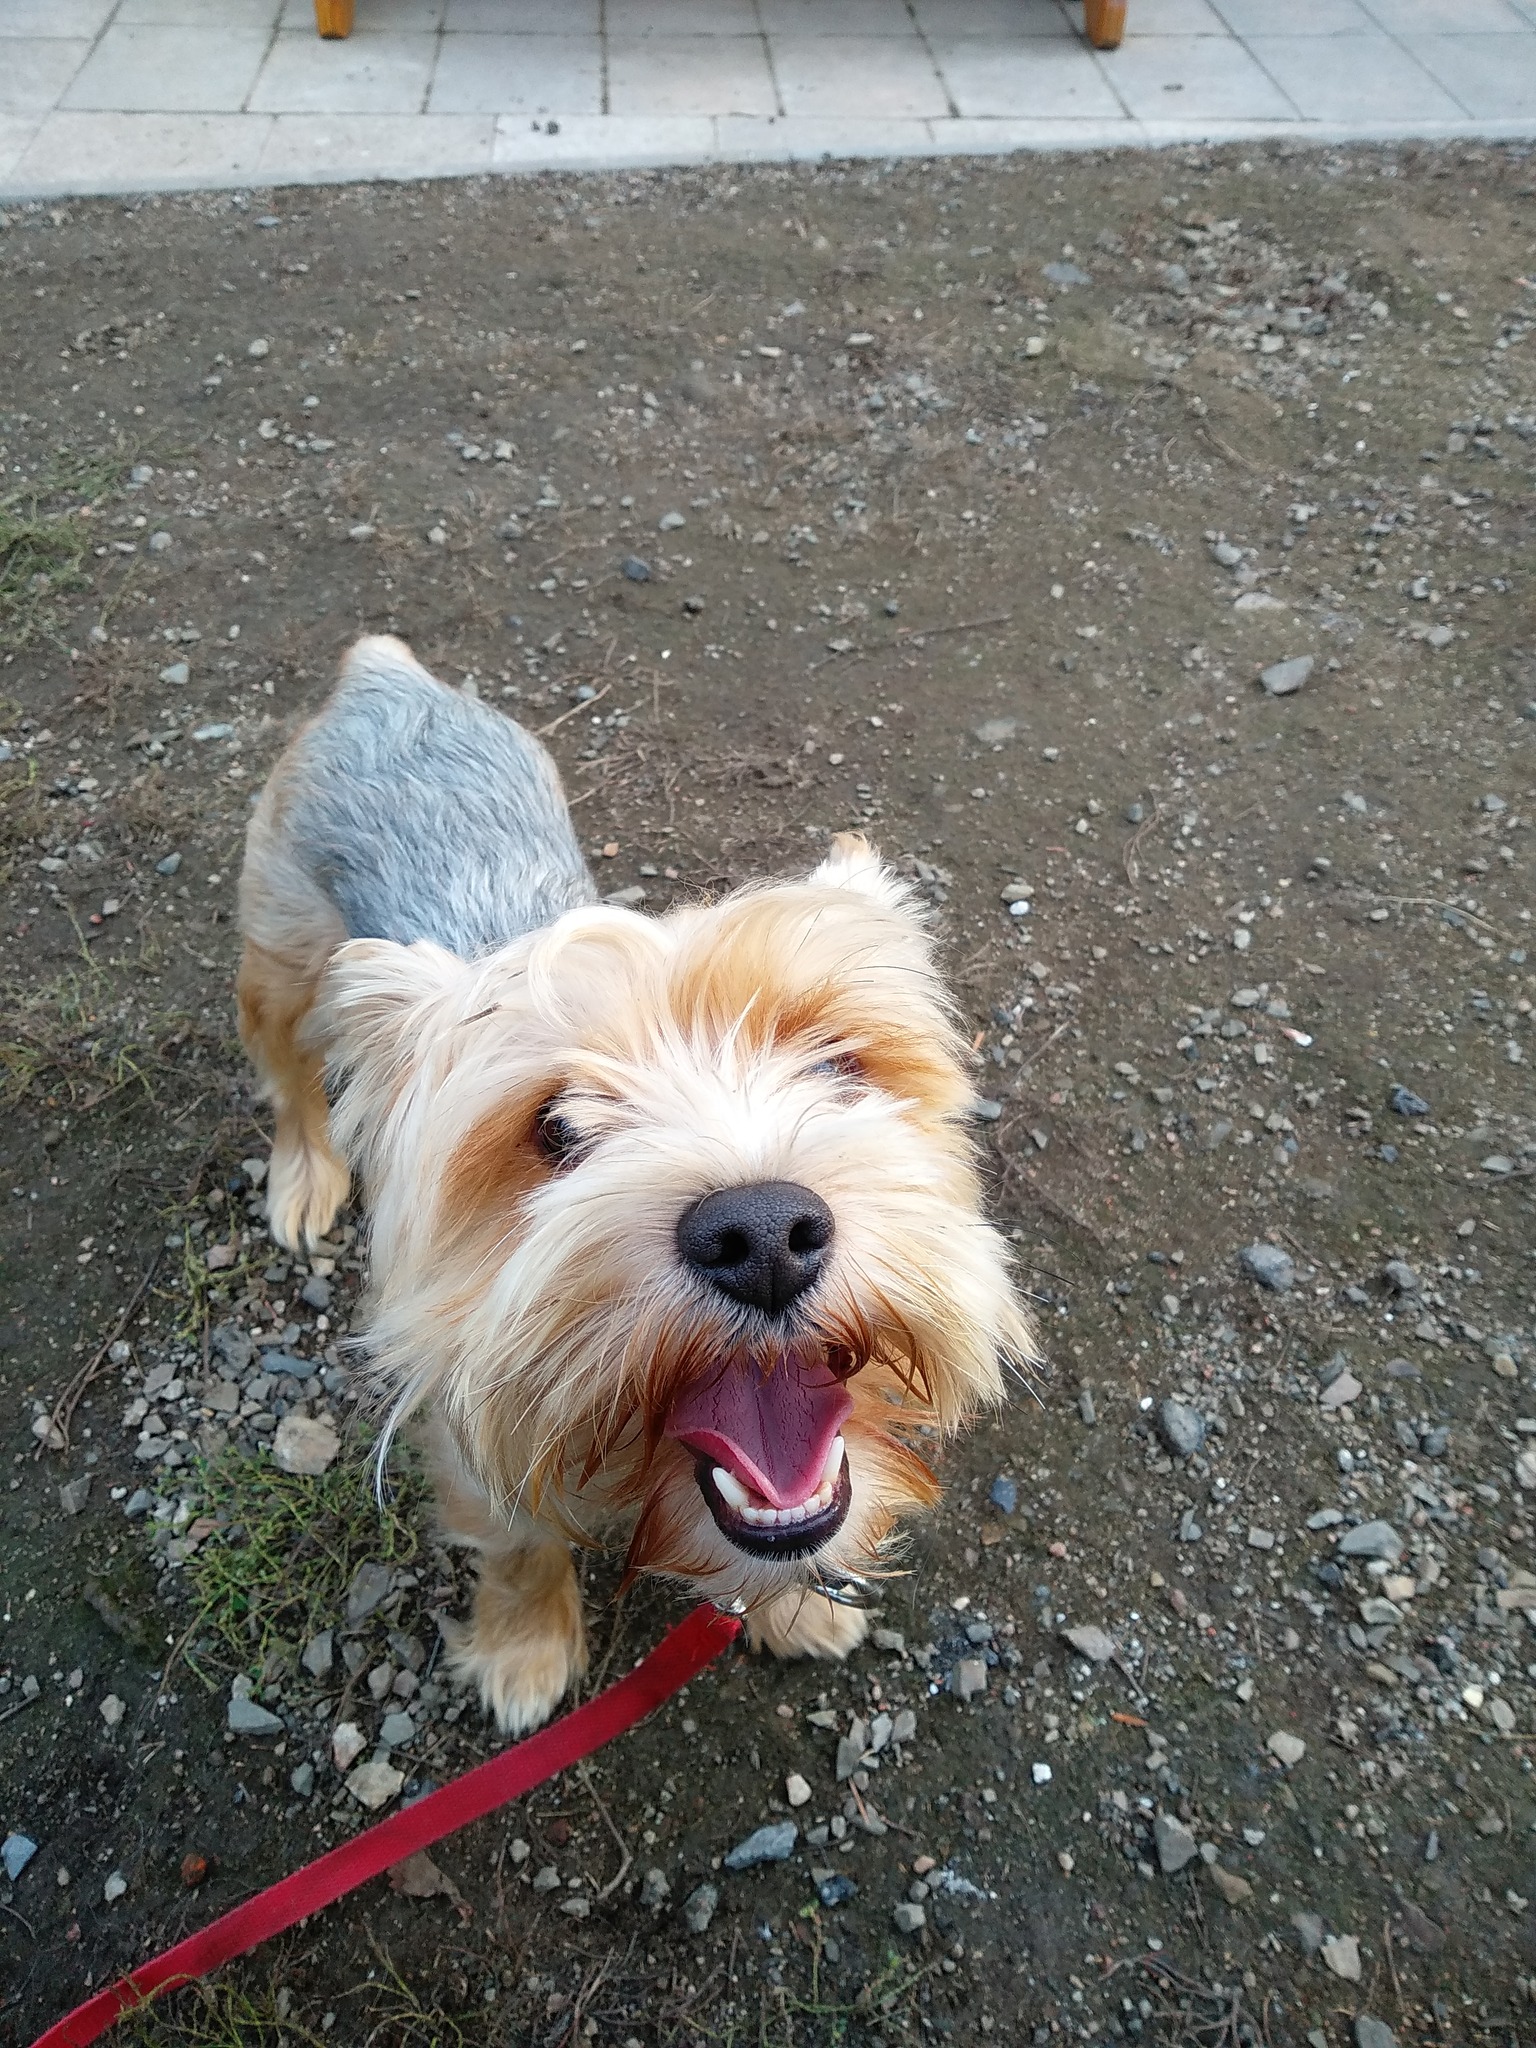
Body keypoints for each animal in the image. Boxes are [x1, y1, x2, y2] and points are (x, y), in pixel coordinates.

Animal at [237, 635, 1037, 1735]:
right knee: (284, 1061)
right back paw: (306, 1171)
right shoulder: (470, 1394)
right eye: (559, 1128)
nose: (761, 1232)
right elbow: (519, 1537)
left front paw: (793, 1608)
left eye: (838, 1064)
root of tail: (380, 675)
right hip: (283, 943)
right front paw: (525, 1649)